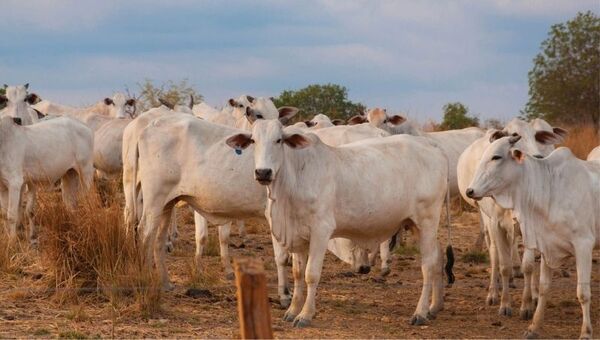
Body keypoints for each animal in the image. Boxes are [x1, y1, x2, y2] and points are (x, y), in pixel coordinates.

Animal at [225, 119, 450, 326]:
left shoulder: (320, 232)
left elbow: (311, 274)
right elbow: (297, 273)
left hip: (427, 220)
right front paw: (292, 310)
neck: (295, 177)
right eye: (253, 141)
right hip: (415, 224)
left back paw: (420, 312)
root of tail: (434, 147)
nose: (263, 172)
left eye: (279, 140)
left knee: (428, 263)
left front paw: (305, 315)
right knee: (438, 255)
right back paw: (434, 307)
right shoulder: (298, 235)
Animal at [460, 118, 568, 318]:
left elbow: (529, 266)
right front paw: (505, 304)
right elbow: (504, 265)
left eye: (537, 136)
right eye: (515, 137)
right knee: (494, 254)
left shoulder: (531, 227)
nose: (538, 157)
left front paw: (527, 304)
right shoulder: (496, 224)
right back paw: (493, 293)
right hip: (487, 221)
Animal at [466, 136, 596, 340]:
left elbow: (583, 293)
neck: (550, 188)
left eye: (496, 157)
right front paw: (533, 327)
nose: (470, 191)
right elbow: (543, 288)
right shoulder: (546, 245)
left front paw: (586, 332)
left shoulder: (584, 245)